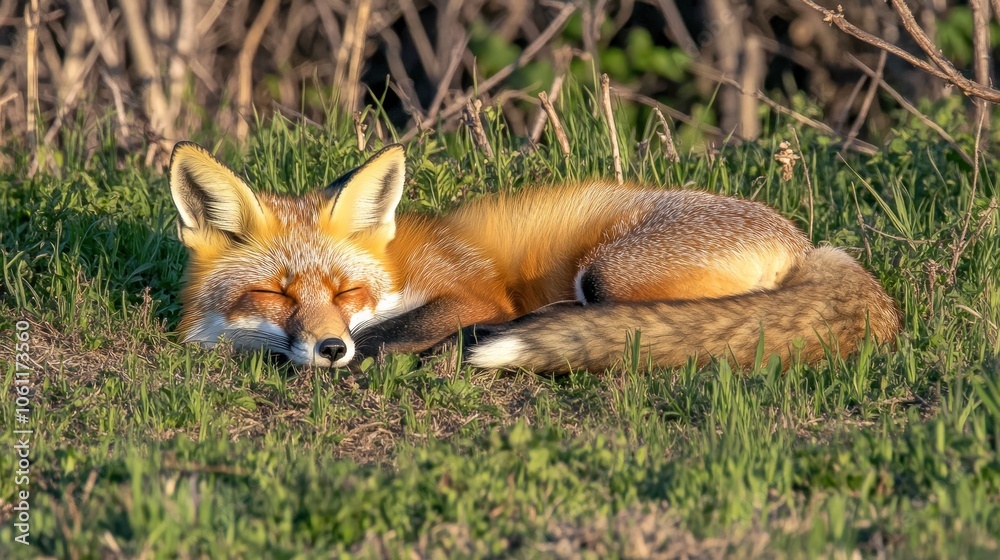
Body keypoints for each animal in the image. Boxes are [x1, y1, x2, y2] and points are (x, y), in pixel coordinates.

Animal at [169, 141, 900, 372]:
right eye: (276, 294)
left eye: (347, 292)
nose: (329, 347)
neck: (398, 267)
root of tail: (809, 244)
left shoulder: (466, 289)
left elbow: (393, 333)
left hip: (609, 274)